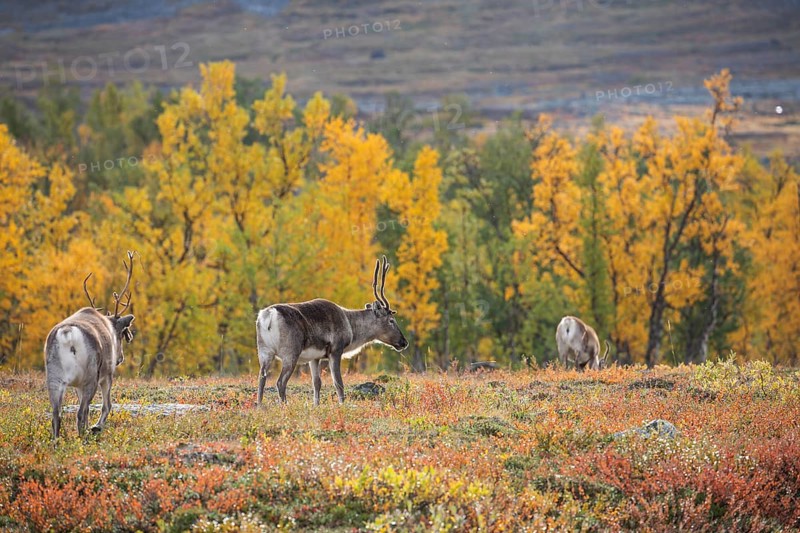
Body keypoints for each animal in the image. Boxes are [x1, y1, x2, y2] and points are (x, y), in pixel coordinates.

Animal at [44, 252, 136, 439]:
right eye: (124, 333)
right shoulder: (107, 375)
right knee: (81, 412)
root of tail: (68, 333)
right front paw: (96, 427)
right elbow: (106, 406)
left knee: (57, 414)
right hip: (91, 377)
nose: (120, 358)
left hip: (55, 378)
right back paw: (83, 438)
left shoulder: (77, 385)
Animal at [256, 255, 409, 406]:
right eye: (391, 320)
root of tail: (268, 315)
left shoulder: (315, 357)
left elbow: (317, 383)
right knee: (280, 382)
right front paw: (342, 406)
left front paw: (316, 406)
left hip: (264, 352)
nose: (404, 342)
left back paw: (260, 406)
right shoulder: (336, 350)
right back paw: (284, 406)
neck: (351, 328)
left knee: (261, 378)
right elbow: (338, 384)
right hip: (290, 352)